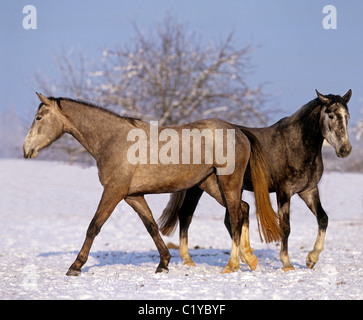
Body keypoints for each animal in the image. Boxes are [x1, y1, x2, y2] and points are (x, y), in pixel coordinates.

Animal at [23, 92, 284, 276]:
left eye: (38, 117)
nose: (27, 150)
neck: (113, 140)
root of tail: (238, 130)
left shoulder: (113, 192)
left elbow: (94, 226)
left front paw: (75, 266)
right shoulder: (133, 196)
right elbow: (151, 227)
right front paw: (163, 263)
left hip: (227, 183)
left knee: (236, 215)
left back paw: (232, 265)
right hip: (211, 184)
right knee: (243, 209)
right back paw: (249, 259)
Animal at [160, 89, 352, 272]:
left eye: (347, 116)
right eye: (331, 115)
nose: (345, 149)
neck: (294, 146)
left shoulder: (308, 190)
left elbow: (323, 218)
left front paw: (311, 259)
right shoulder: (284, 192)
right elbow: (286, 227)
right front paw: (287, 263)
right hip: (198, 187)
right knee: (186, 215)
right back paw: (191, 259)